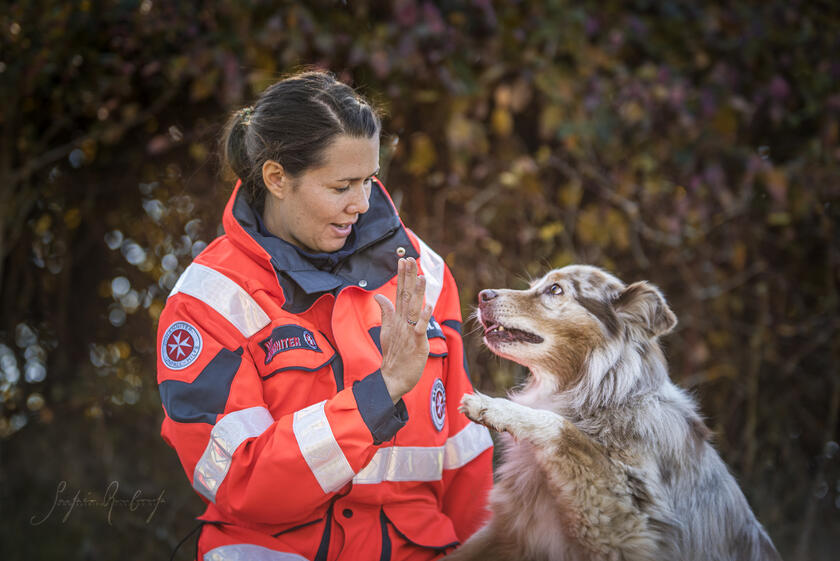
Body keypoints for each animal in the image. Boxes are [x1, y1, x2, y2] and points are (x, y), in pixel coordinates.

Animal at [446, 264, 780, 560]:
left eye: (555, 289)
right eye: (533, 285)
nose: (482, 295)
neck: (602, 394)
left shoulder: (628, 529)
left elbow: (562, 428)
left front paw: (493, 407)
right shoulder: (511, 533)